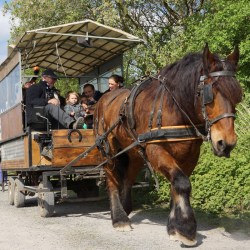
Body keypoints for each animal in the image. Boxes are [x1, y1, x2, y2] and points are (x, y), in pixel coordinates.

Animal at [94, 44, 242, 245]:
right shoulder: (155, 149)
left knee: (128, 178)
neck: (173, 107)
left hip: (134, 152)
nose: (227, 143)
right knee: (112, 179)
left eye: (238, 95)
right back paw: (119, 218)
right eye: (209, 94)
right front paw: (186, 229)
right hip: (108, 150)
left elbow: (176, 185)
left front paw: (174, 227)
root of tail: (103, 99)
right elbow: (182, 183)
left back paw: (125, 208)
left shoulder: (190, 155)